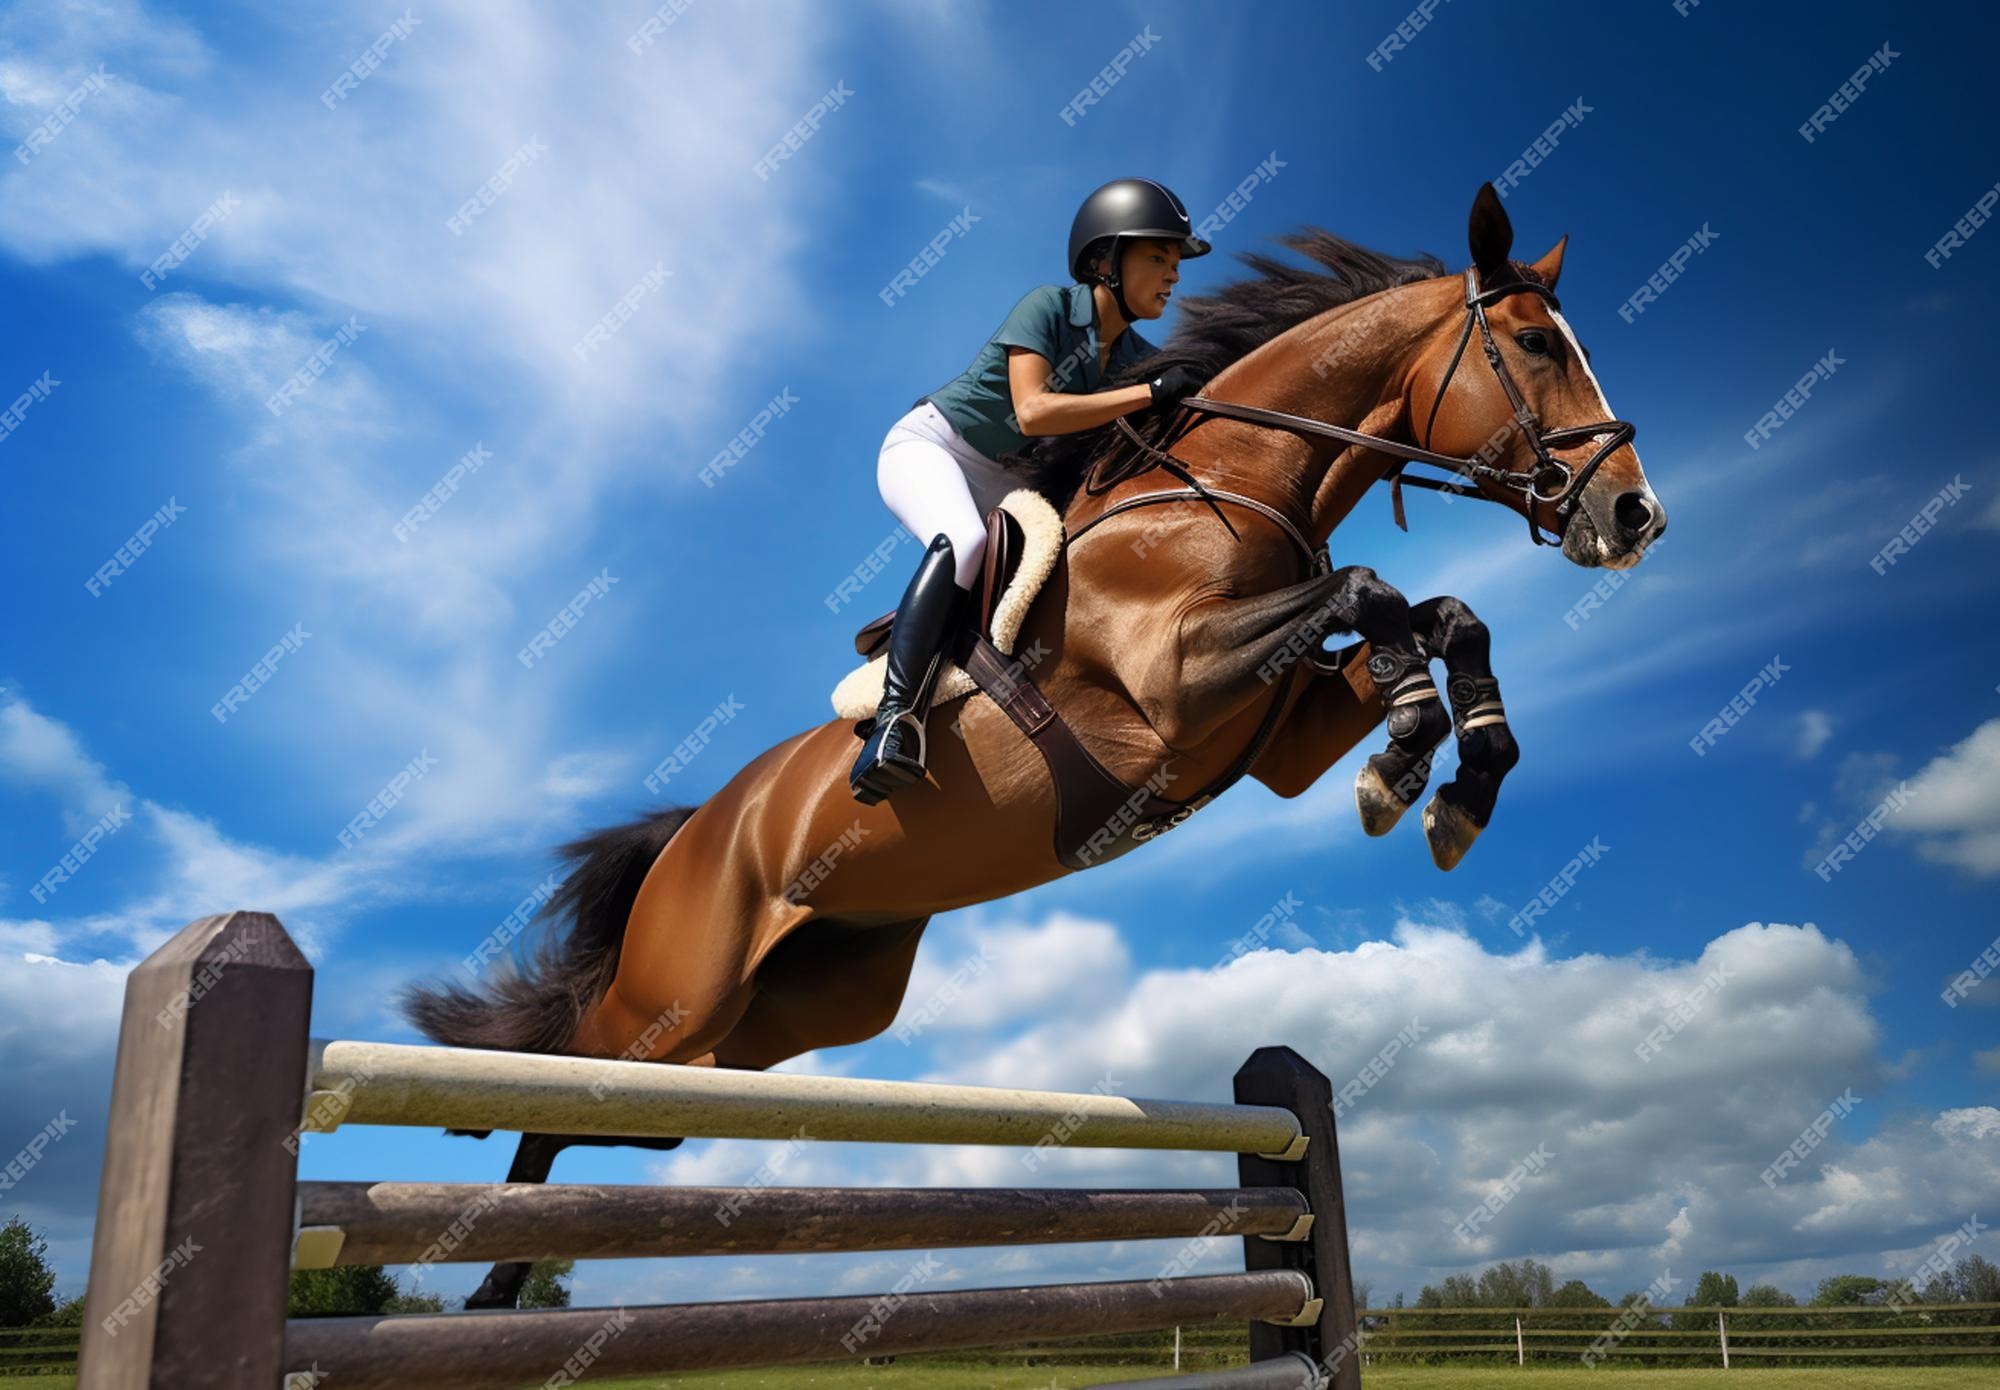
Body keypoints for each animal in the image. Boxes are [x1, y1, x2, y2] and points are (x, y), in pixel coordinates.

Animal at [402, 185, 1656, 1304]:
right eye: (1534, 343)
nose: (1634, 517)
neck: (1232, 488)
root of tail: (696, 828)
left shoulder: (1276, 737)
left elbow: (1443, 615)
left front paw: (1450, 782)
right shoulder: (1174, 681)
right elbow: (1372, 588)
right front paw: (1406, 763)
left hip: (770, 1028)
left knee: (615, 1112)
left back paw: (502, 1268)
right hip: (678, 997)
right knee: (561, 1070)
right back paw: (488, 1257)